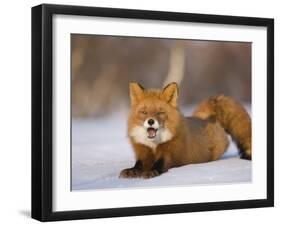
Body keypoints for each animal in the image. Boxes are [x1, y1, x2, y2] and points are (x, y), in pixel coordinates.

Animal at [119, 82, 250, 179]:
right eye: (144, 112)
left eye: (160, 112)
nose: (150, 121)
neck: (154, 145)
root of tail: (204, 118)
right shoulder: (143, 152)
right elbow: (138, 164)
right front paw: (132, 171)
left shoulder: (169, 153)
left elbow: (159, 164)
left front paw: (151, 171)